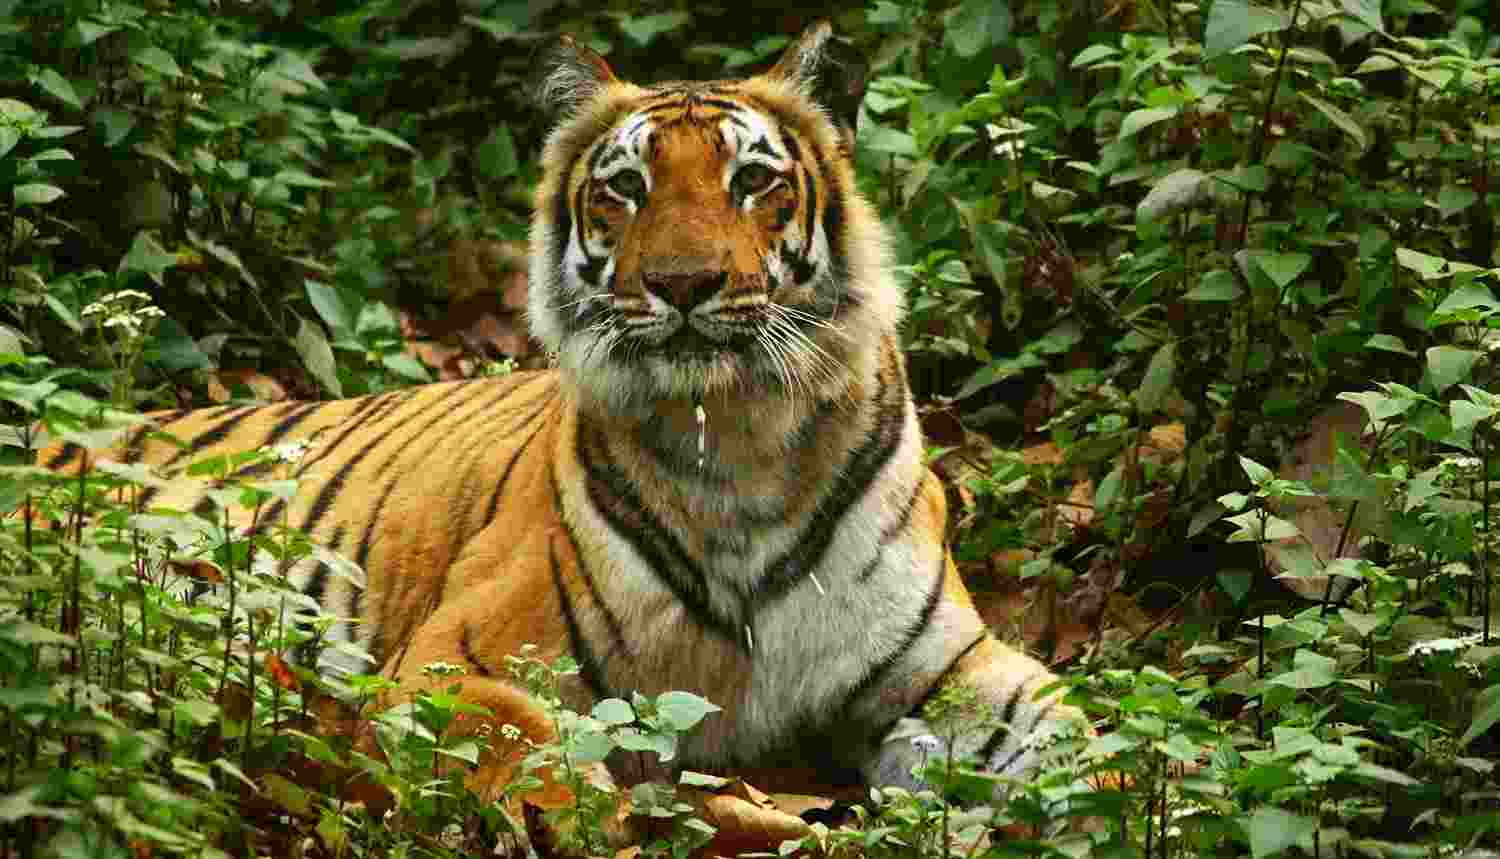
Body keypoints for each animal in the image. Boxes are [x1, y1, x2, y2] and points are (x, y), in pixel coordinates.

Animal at [43, 22, 1086, 806]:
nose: (684, 284)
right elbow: (526, 735)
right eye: (626, 187)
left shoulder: (951, 667)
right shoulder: (454, 658)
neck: (739, 439)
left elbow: (1085, 736)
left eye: (752, 180)